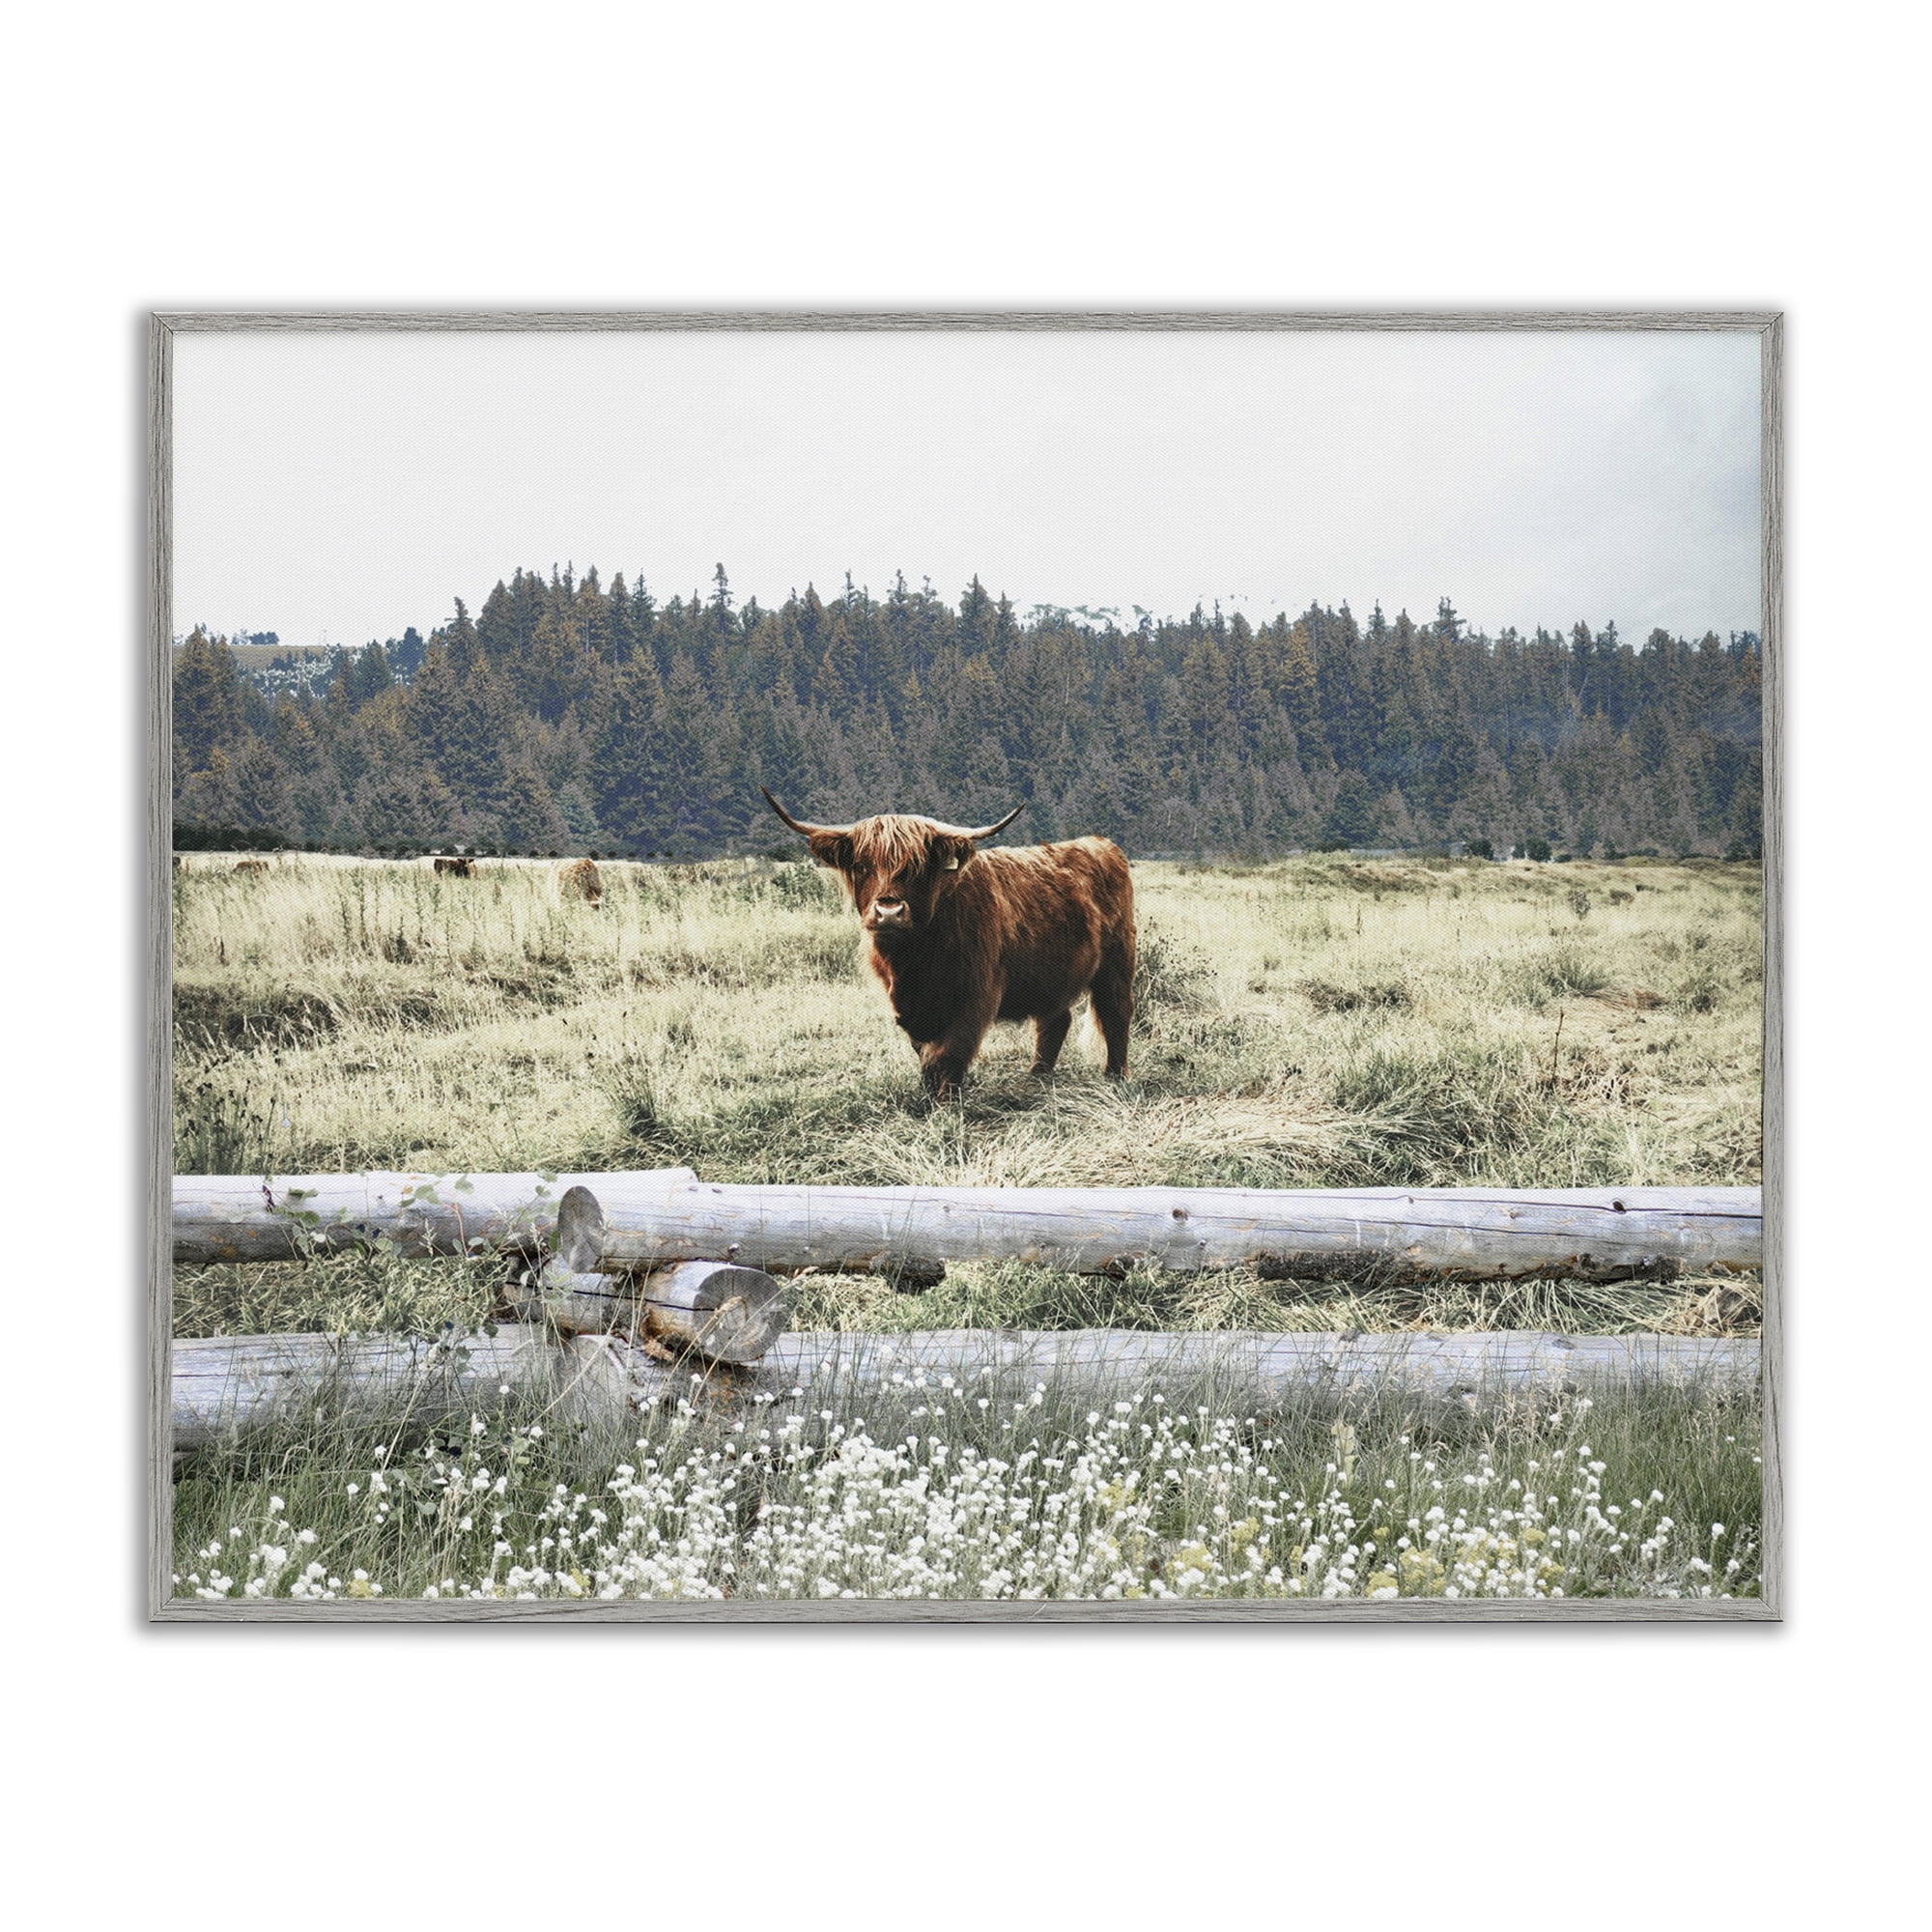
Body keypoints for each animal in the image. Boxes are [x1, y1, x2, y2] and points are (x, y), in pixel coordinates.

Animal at [760, 788, 1135, 1100]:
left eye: (917, 868)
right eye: (861, 865)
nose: (889, 912)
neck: (914, 961)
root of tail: (1102, 844)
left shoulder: (976, 995)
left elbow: (951, 1052)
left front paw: (946, 1104)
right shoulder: (908, 1005)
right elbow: (925, 1053)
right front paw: (928, 1095)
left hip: (1117, 962)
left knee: (1116, 1013)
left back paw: (1114, 1077)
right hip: (1049, 974)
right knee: (1055, 1020)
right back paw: (1037, 1077)